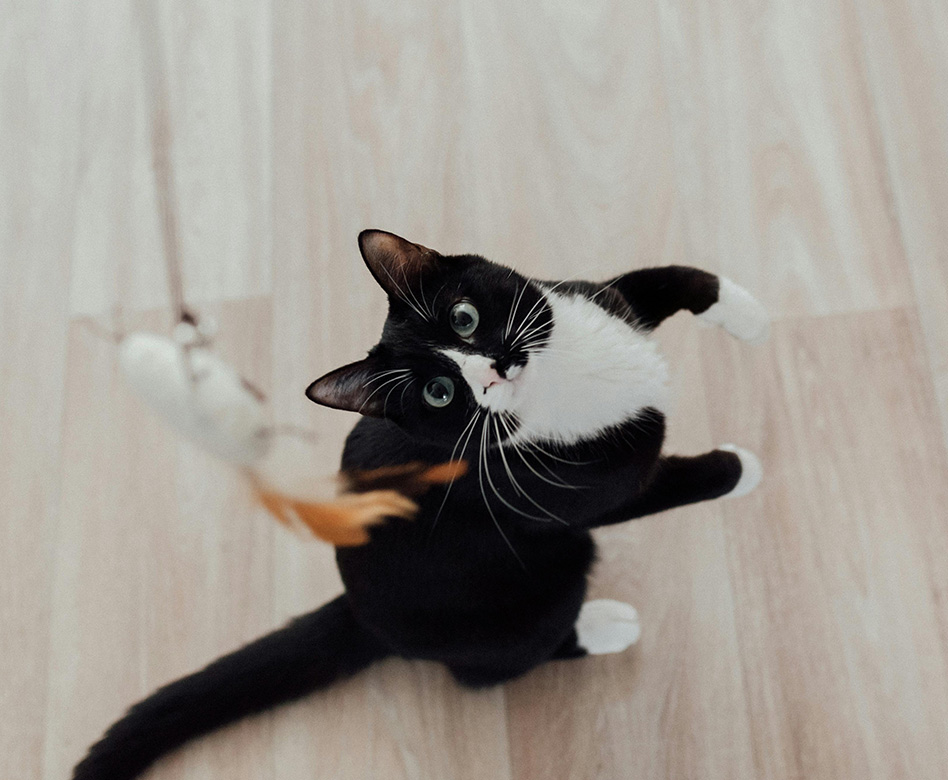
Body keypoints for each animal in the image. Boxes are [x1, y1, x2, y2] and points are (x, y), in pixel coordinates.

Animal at [73, 230, 768, 779]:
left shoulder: (585, 298)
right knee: (497, 665)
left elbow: (661, 279)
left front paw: (749, 312)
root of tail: (359, 609)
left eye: (463, 318)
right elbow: (673, 484)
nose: (495, 367)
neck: (566, 382)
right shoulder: (577, 493)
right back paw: (604, 625)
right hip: (526, 597)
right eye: (439, 392)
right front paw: (746, 468)